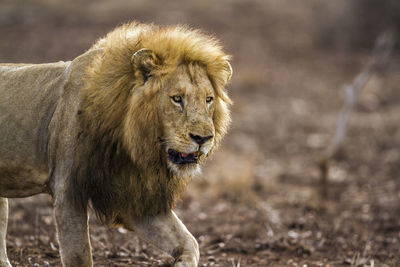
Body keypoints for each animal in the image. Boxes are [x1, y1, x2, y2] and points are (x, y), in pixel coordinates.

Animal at [0, 22, 233, 266]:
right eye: (177, 98)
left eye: (208, 99)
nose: (204, 138)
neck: (130, 142)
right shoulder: (68, 189)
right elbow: (79, 255)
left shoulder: (133, 195)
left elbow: (190, 243)